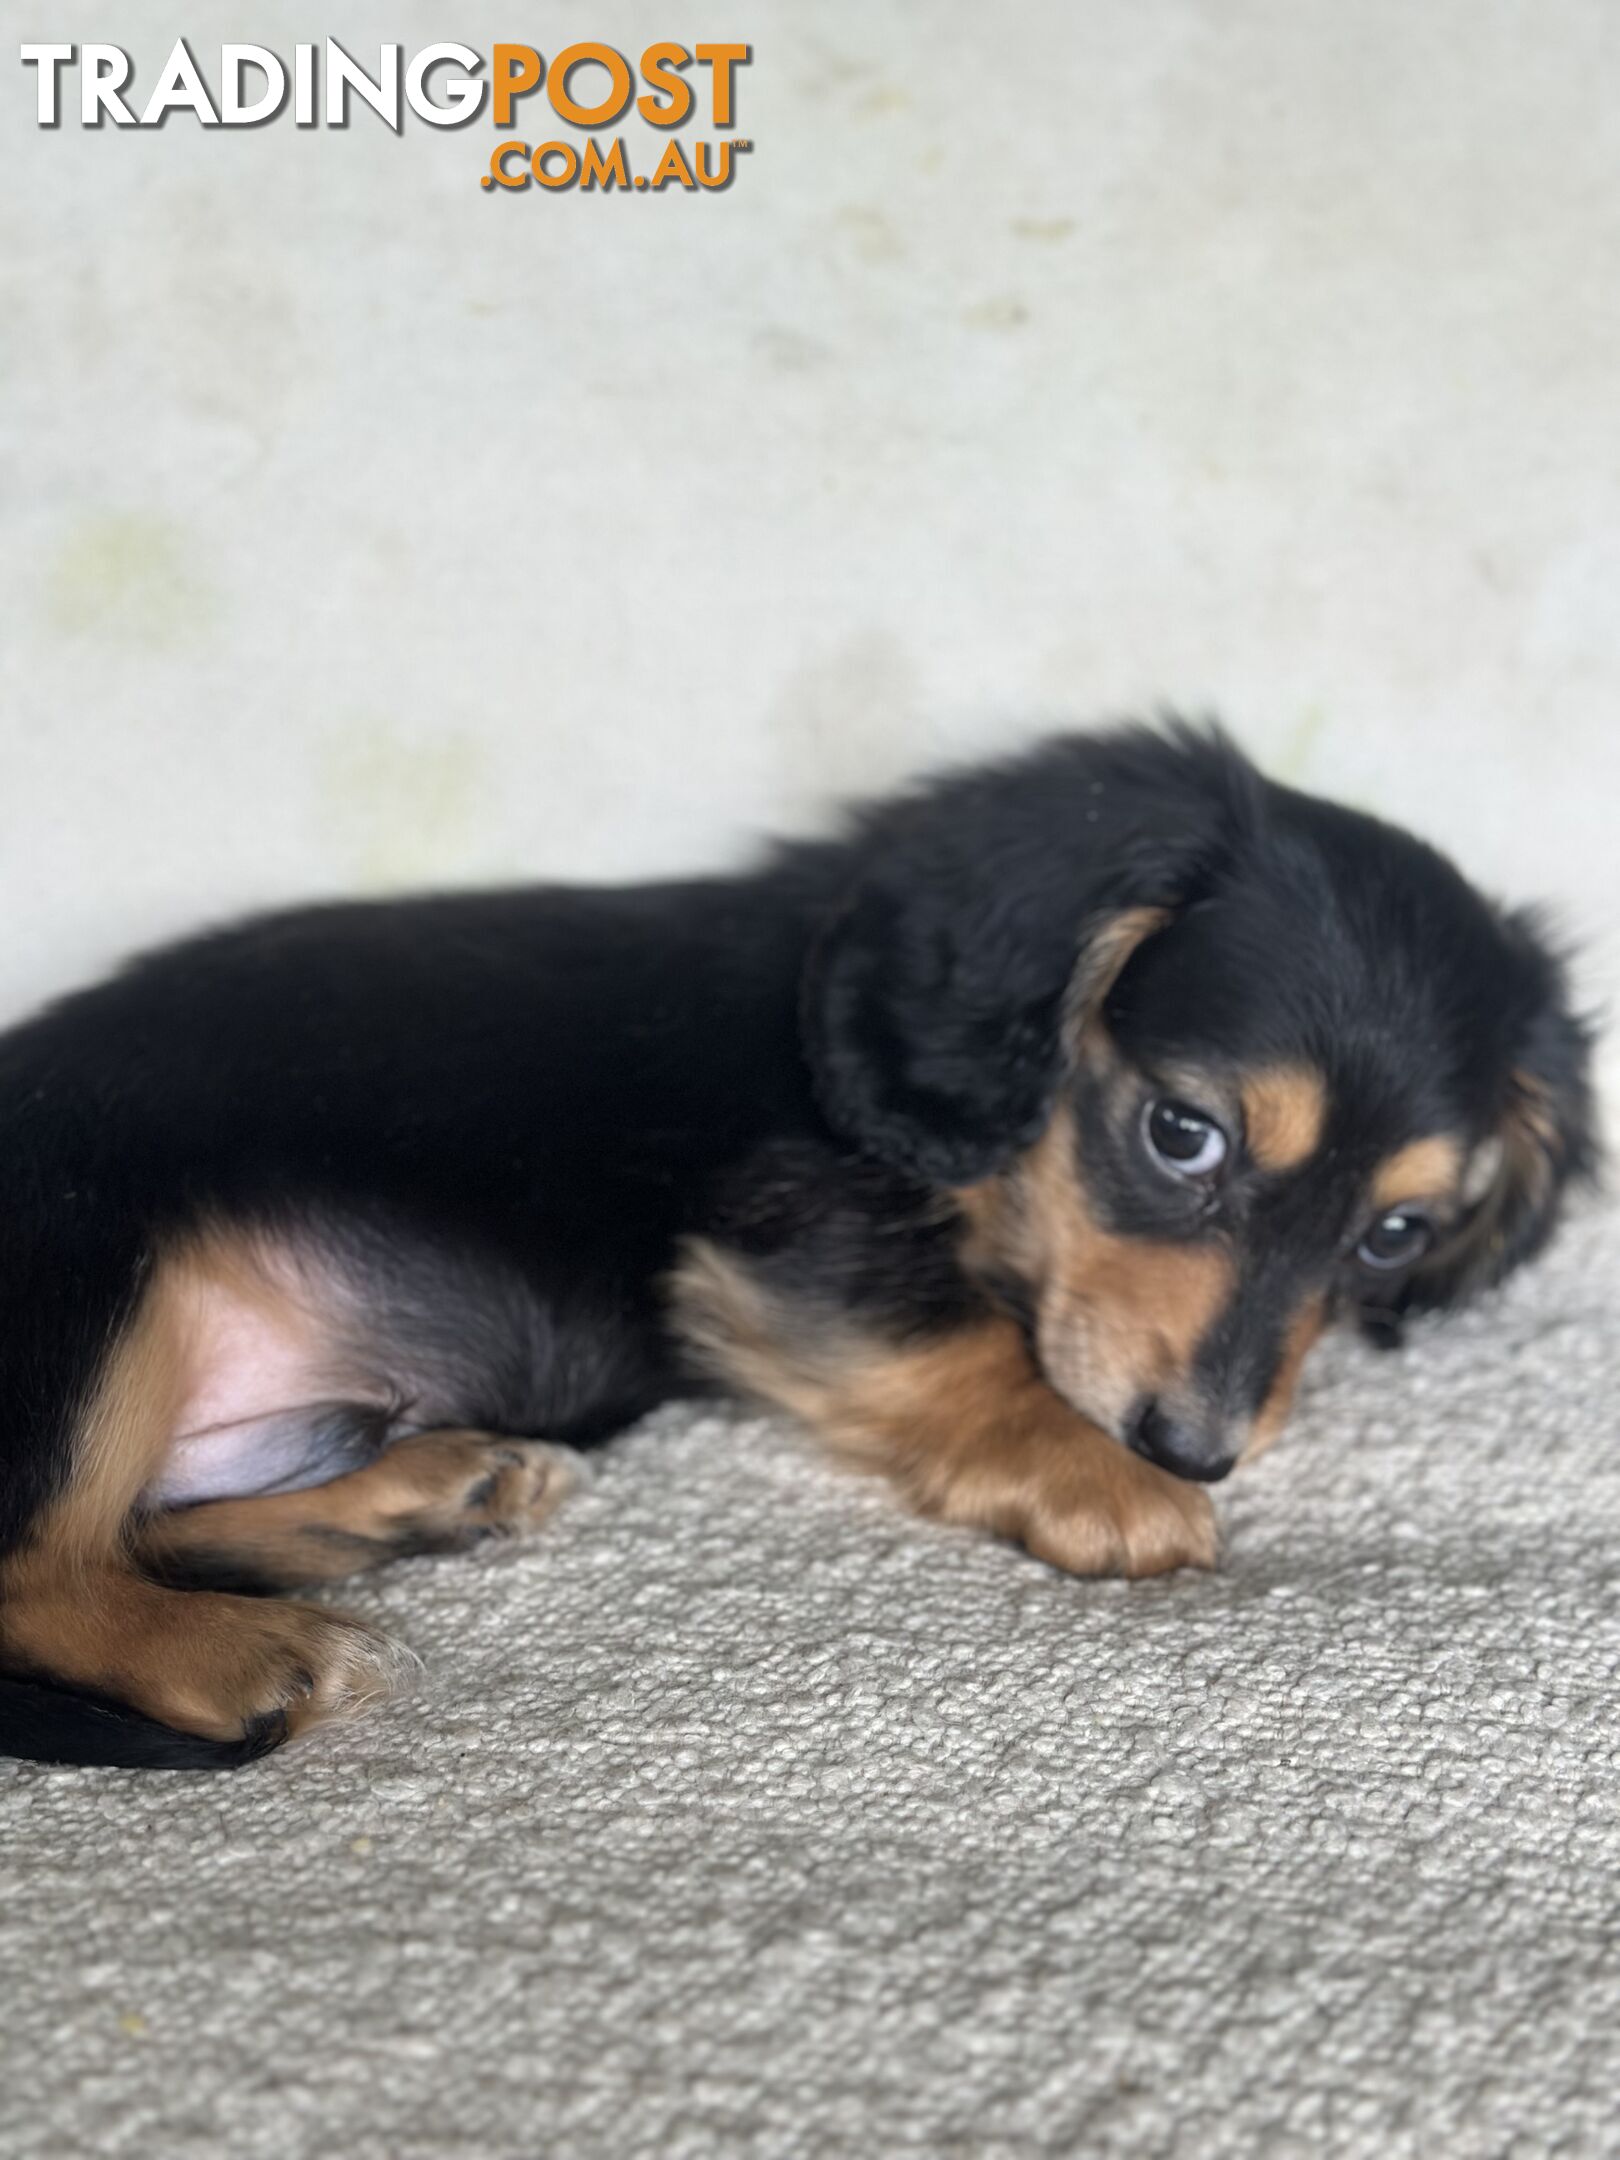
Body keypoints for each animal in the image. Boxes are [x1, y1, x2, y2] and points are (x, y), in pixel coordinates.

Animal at [0, 717, 1598, 1762]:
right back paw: (244, 1651)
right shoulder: (789, 1226)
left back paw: (418, 1497)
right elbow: (954, 1332)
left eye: (1394, 1233)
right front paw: (1101, 1479)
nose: (1197, 1447)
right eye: (1180, 1134)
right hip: (91, 1263)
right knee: (35, 1565)